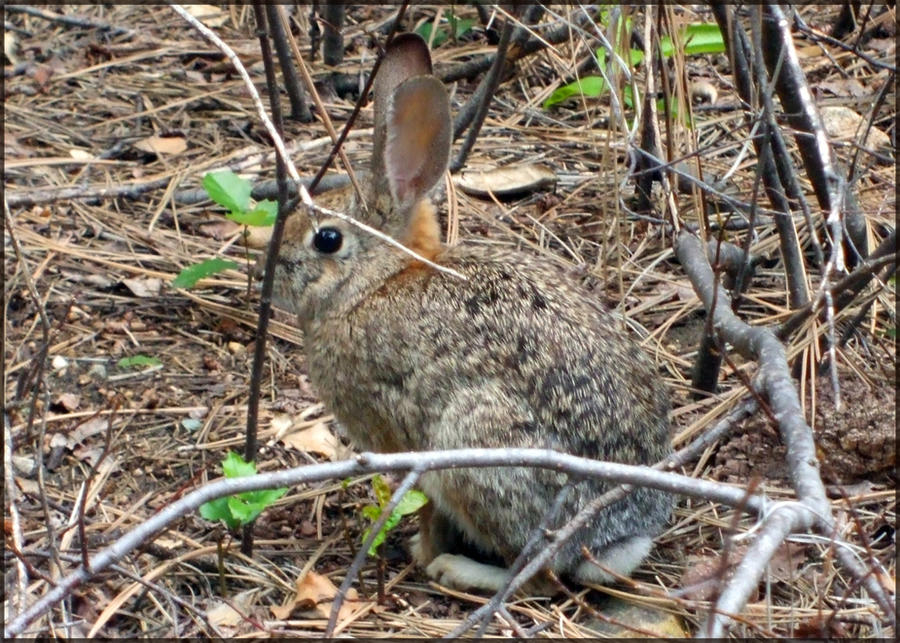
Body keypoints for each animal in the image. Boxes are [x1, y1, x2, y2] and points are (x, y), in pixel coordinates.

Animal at [270, 33, 673, 593]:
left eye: (327, 239)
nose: (267, 271)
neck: (378, 282)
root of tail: (612, 536)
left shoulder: (404, 438)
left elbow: (424, 507)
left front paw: (421, 551)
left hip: (476, 444)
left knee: (537, 577)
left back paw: (458, 569)